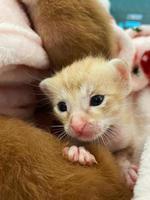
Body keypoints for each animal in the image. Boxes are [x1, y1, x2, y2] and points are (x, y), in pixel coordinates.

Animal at [40, 56, 150, 188]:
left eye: (97, 100)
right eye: (62, 106)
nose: (77, 125)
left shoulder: (130, 137)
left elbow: (123, 152)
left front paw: (125, 168)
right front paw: (79, 151)